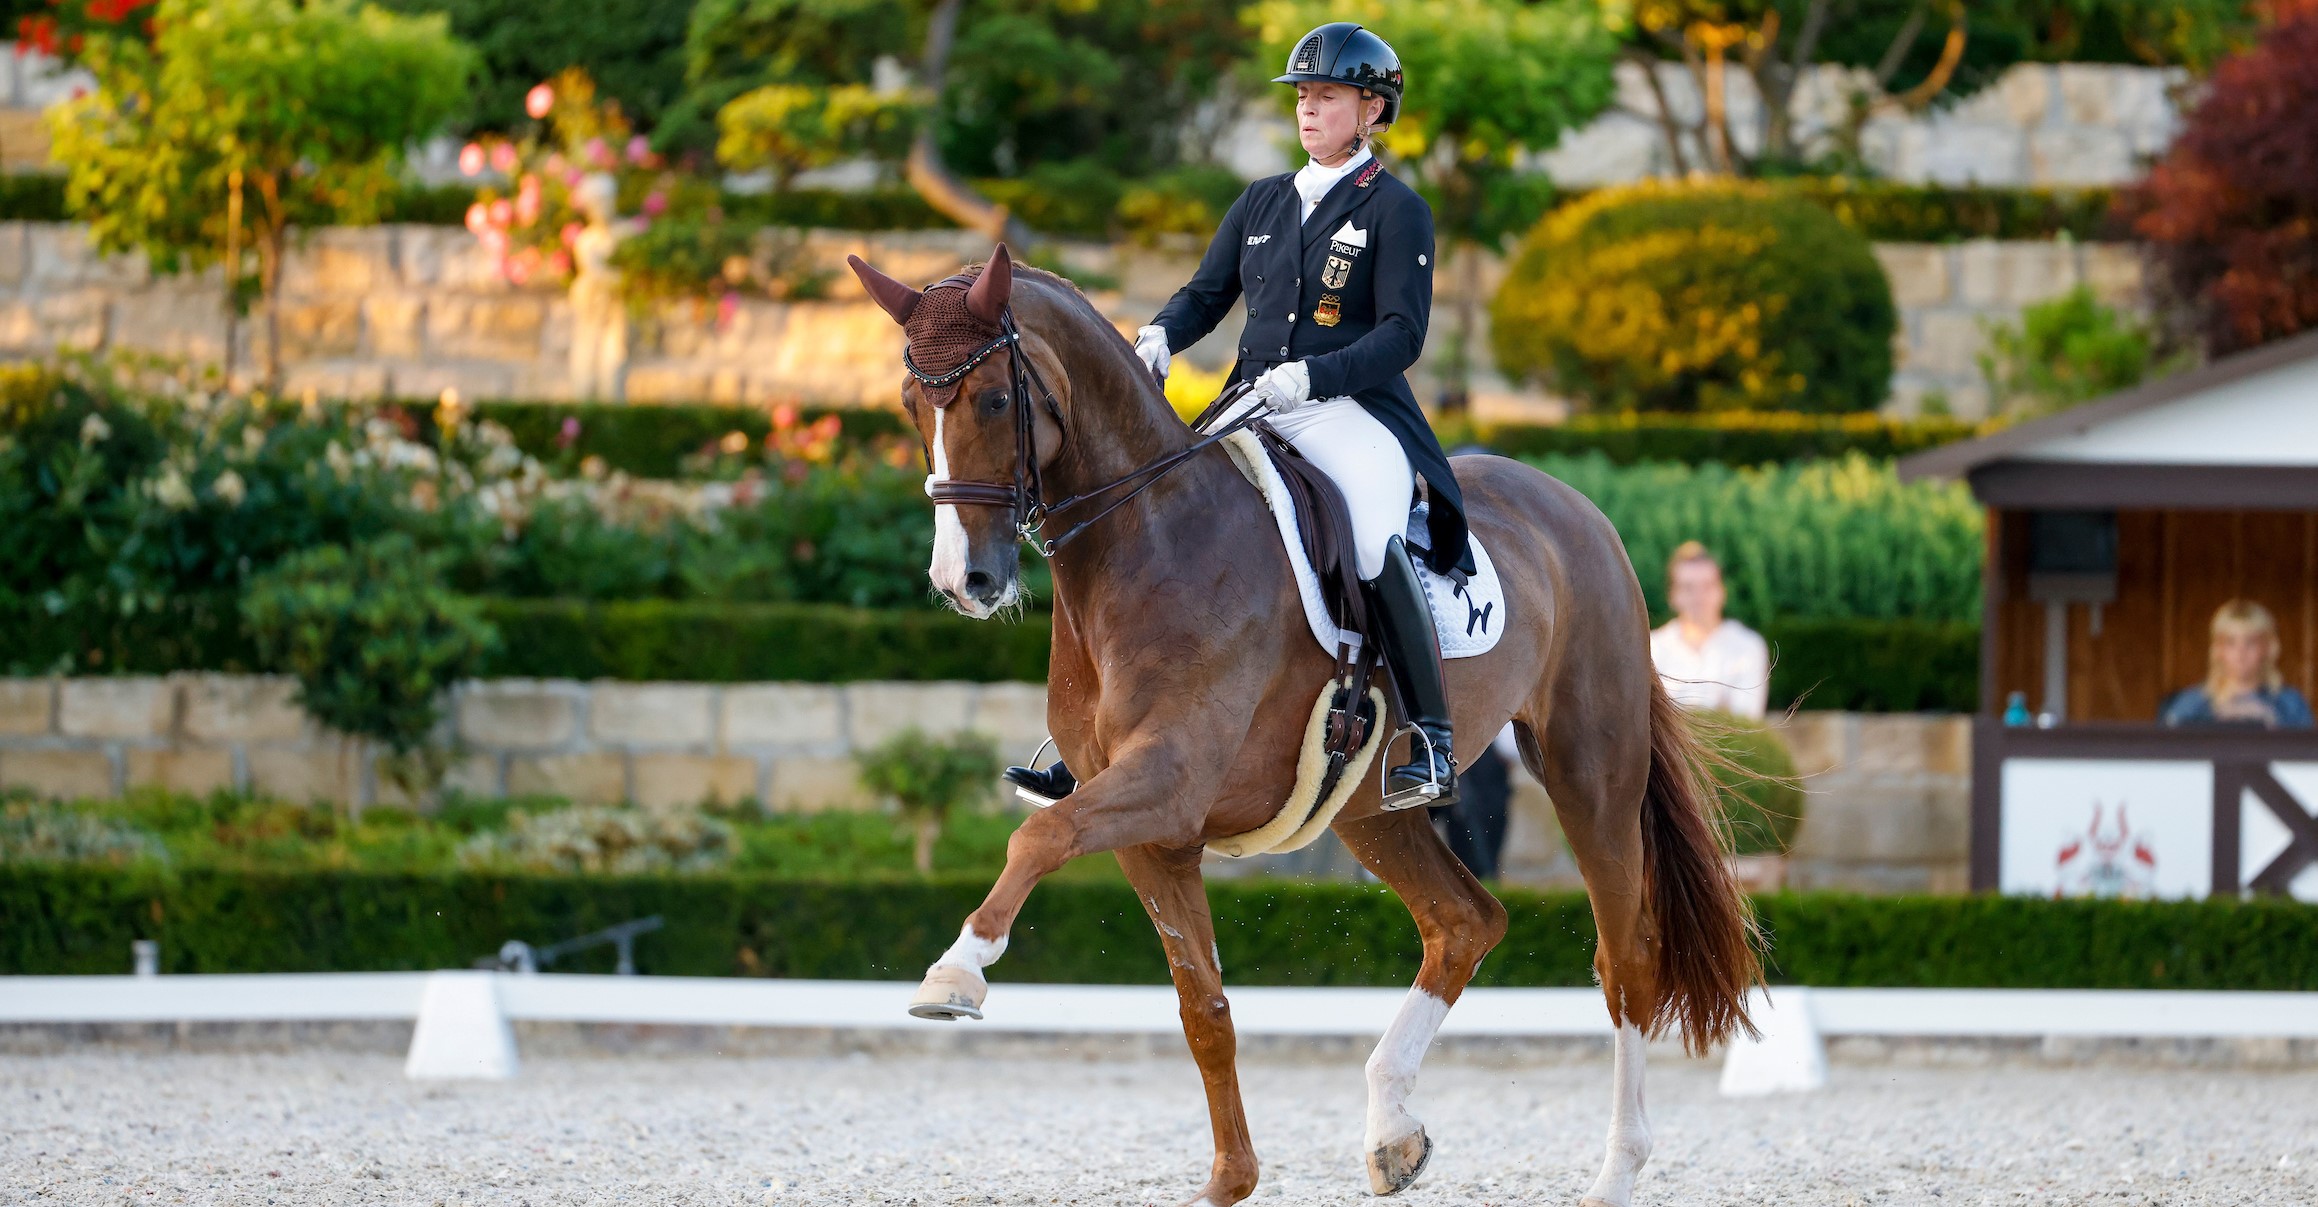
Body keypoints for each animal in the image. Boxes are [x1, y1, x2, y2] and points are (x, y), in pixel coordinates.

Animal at [853, 246, 1752, 1204]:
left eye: (992, 399)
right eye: (910, 404)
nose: (965, 582)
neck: (1147, 540)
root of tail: (1579, 509)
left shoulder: (1168, 783)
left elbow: (1038, 839)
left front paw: (956, 973)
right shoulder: (1155, 834)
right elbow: (1202, 1006)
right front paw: (1230, 1180)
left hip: (1591, 773)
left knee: (1627, 961)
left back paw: (1615, 1170)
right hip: (1371, 810)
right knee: (1466, 921)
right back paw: (1393, 1131)